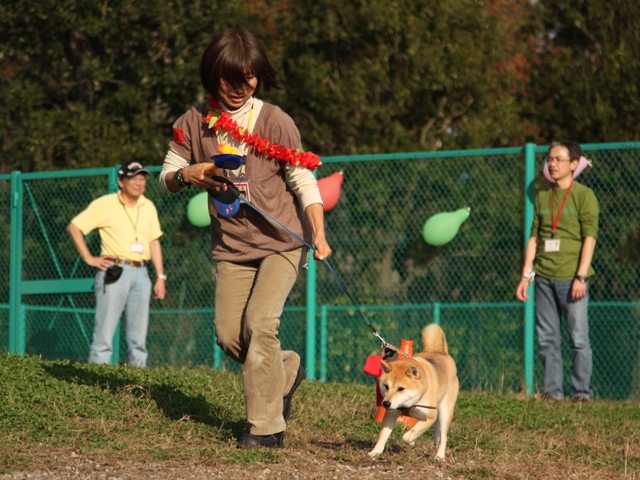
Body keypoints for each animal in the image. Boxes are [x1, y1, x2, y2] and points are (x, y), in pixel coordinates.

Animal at [368, 324, 458, 460]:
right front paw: (376, 451)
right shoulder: (390, 415)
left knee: (444, 436)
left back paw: (440, 455)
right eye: (386, 386)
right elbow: (383, 435)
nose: (386, 403)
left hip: (445, 412)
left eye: (401, 389)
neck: (409, 404)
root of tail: (440, 353)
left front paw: (411, 441)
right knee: (438, 430)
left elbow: (407, 436)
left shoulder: (429, 417)